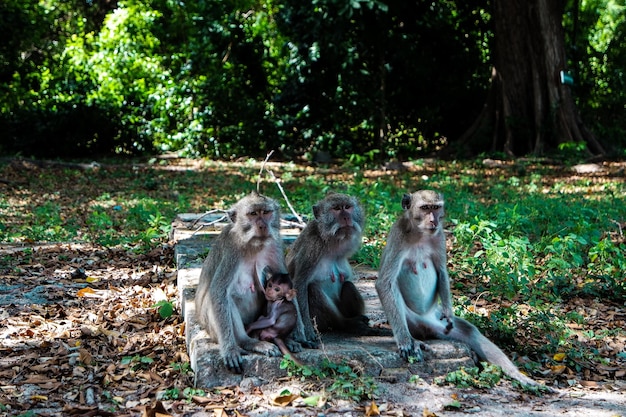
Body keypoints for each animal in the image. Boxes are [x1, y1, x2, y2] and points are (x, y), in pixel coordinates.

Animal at [195, 193, 302, 372]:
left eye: (265, 212)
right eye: (253, 214)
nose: (262, 225)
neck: (254, 244)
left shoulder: (276, 245)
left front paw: (297, 334)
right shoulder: (231, 250)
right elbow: (218, 291)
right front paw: (230, 350)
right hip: (212, 328)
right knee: (226, 300)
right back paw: (249, 342)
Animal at [288, 193, 370, 342]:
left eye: (347, 207)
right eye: (336, 209)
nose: (346, 217)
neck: (328, 241)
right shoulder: (311, 248)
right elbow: (299, 284)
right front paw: (307, 331)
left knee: (348, 285)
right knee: (312, 289)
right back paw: (345, 323)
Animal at [376, 189, 540, 386]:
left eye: (436, 208)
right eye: (425, 208)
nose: (434, 220)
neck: (419, 234)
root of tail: (425, 326)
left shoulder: (439, 236)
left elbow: (441, 271)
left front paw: (448, 310)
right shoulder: (398, 236)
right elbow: (385, 283)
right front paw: (405, 341)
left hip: (438, 323)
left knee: (471, 333)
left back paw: (518, 375)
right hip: (411, 321)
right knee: (395, 294)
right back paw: (411, 339)